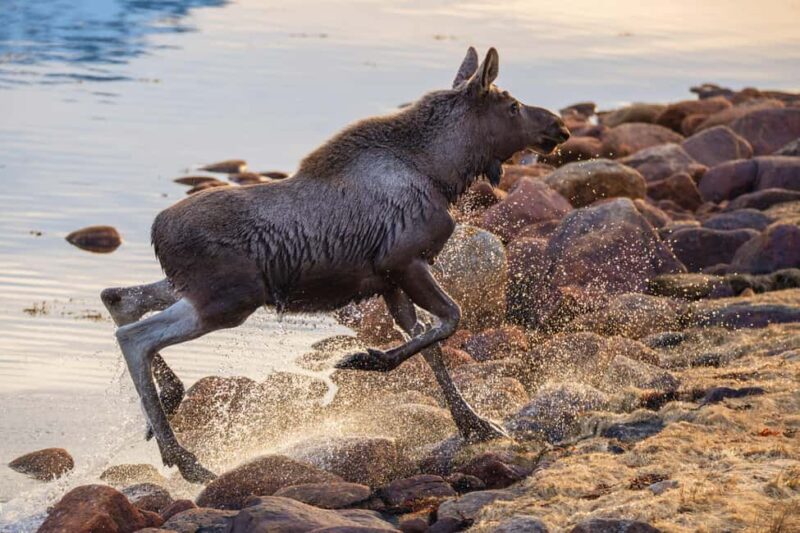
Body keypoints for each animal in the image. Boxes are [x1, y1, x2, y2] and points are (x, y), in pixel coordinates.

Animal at [101, 47, 570, 483]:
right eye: (512, 106)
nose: (558, 126)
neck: (443, 172)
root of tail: (156, 232)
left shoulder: (389, 280)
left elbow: (430, 343)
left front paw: (474, 422)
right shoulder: (406, 262)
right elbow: (449, 321)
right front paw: (365, 360)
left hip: (193, 288)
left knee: (120, 298)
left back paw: (169, 405)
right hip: (226, 300)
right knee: (136, 336)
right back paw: (185, 459)